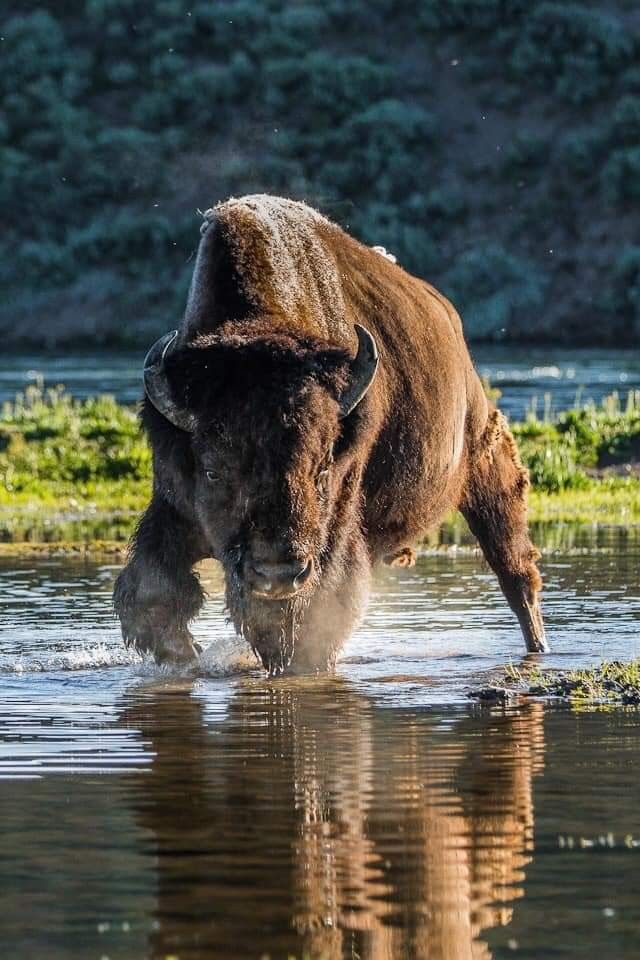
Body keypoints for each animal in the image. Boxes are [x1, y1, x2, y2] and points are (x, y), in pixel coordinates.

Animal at [114, 193, 544, 676]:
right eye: (212, 471)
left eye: (322, 470)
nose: (277, 574)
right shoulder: (173, 503)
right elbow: (153, 595)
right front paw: (188, 655)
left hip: (487, 472)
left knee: (515, 572)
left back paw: (538, 646)